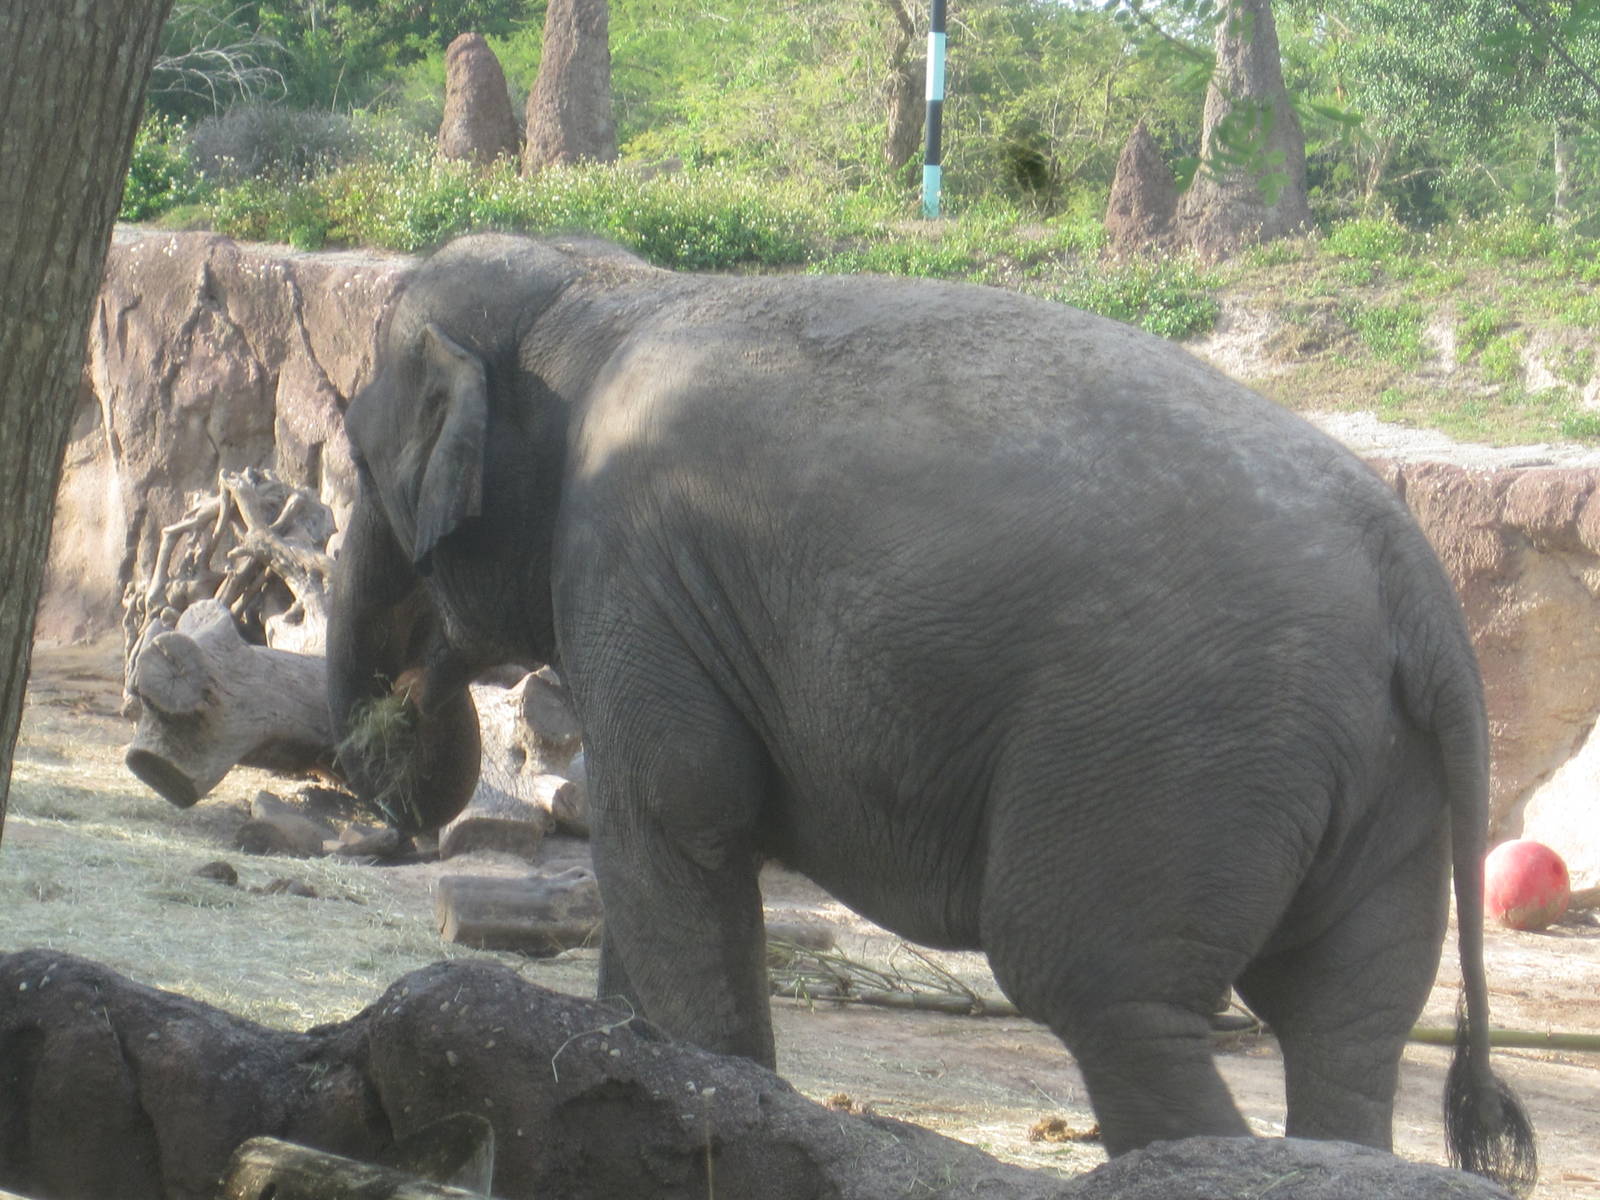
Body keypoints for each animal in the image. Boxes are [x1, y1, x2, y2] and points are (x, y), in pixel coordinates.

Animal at [327, 232, 1534, 1190]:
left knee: (1105, 992)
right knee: (1346, 1020)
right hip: (1382, 779)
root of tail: (1414, 584)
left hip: (1178, 754)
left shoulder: (632, 568)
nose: (382, 791)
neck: (600, 291)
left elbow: (673, 824)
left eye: (356, 461)